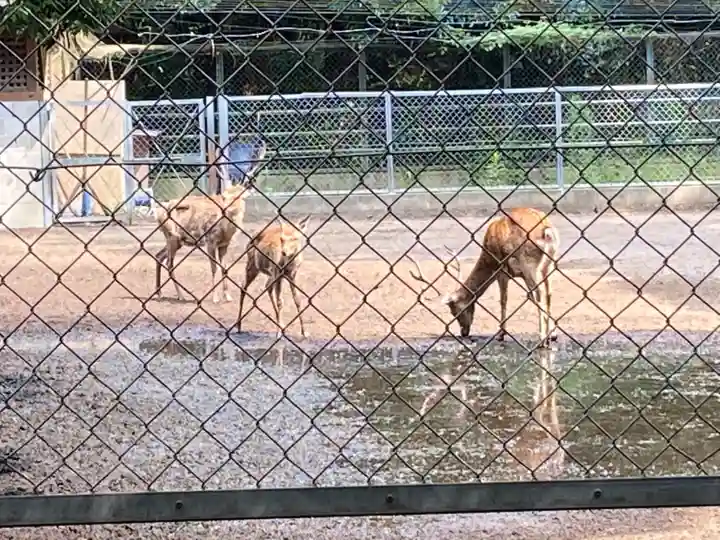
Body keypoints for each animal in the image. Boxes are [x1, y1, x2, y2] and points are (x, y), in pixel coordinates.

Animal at [407, 208, 560, 347]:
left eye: (455, 311)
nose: (464, 333)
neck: (488, 260)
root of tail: (546, 230)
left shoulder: (501, 269)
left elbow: (503, 300)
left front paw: (501, 334)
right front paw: (552, 334)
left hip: (529, 263)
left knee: (540, 293)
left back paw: (542, 339)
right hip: (550, 264)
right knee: (549, 293)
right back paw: (550, 336)